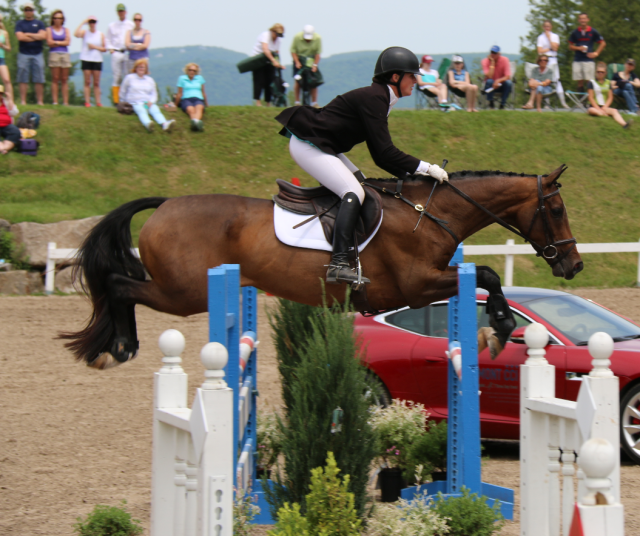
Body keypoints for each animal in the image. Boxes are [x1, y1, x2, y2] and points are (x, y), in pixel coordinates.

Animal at [58, 165, 580, 370]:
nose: (573, 265)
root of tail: (165, 204)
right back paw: (118, 347)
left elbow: (488, 277)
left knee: (121, 285)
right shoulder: (415, 285)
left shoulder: (426, 283)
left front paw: (496, 329)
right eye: (556, 210)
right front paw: (500, 329)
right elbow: (489, 275)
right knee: (120, 285)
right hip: (183, 293)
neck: (429, 213)